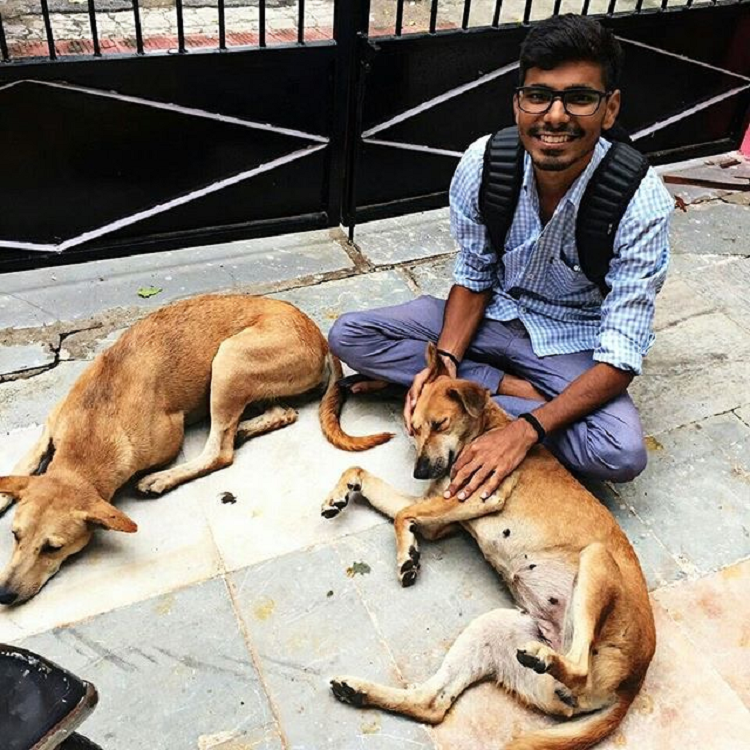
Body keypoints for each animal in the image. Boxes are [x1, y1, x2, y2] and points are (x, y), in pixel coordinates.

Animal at [0, 294, 392, 605]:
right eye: (15, 535)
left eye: (53, 547)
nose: (4, 595)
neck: (92, 429)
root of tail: (319, 336)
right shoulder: (48, 431)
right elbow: (20, 468)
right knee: (278, 414)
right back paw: (245, 428)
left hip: (229, 361)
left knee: (221, 450)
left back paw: (164, 477)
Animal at [321, 343, 655, 750]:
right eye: (414, 428)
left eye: (439, 424)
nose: (419, 471)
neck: (485, 429)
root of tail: (633, 683)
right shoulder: (441, 512)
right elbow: (362, 475)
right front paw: (339, 498)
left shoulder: (480, 496)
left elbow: (403, 515)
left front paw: (407, 557)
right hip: (493, 630)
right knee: (431, 704)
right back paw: (357, 691)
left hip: (595, 559)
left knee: (577, 666)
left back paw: (546, 658)